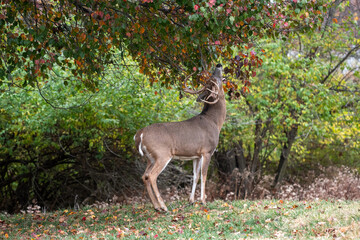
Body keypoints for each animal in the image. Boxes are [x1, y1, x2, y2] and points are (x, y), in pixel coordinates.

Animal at [134, 62, 226, 211]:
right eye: (214, 79)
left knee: (144, 176)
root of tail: (140, 134)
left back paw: (156, 206)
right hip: (162, 154)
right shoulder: (207, 151)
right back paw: (163, 206)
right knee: (151, 176)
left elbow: (195, 176)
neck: (214, 121)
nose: (218, 64)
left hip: (150, 158)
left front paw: (191, 200)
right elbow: (204, 175)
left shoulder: (196, 155)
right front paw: (203, 201)